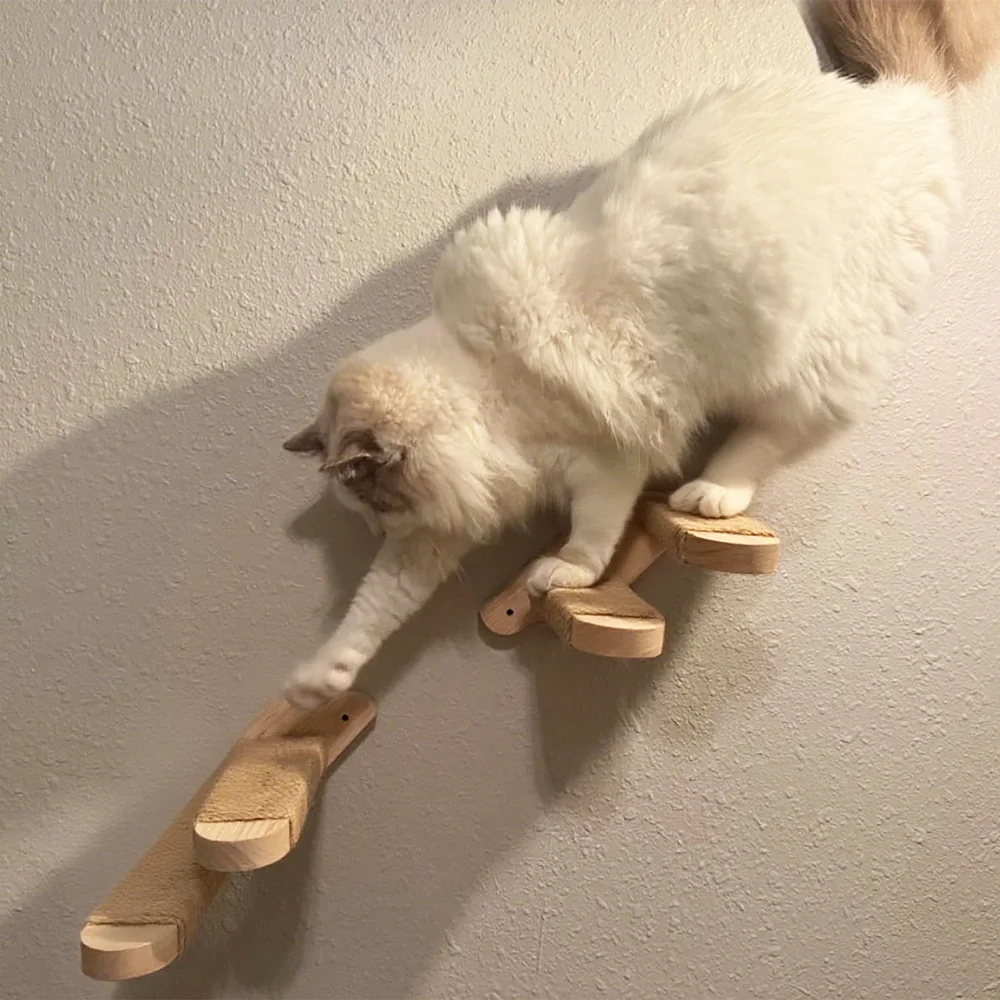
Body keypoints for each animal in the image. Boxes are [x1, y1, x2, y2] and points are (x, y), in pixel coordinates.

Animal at [282, 0, 999, 709]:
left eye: (377, 507)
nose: (376, 534)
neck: (478, 383)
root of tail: (901, 102)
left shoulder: (606, 459)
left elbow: (592, 536)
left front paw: (560, 575)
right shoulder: (452, 520)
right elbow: (373, 610)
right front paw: (318, 685)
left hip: (812, 361)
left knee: (773, 438)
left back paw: (709, 495)